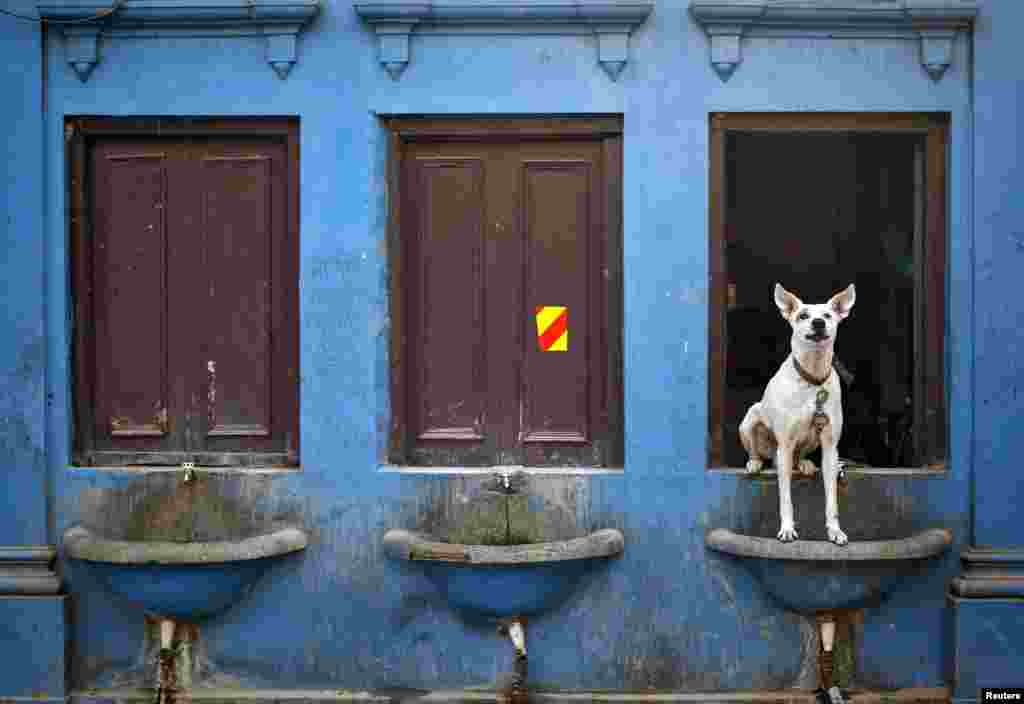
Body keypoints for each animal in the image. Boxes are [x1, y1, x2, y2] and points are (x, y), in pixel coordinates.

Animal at [741, 282, 851, 548]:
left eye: (828, 315)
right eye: (803, 315)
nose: (818, 323)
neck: (812, 378)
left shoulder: (830, 448)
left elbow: (832, 499)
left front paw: (835, 531)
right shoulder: (785, 446)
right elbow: (786, 499)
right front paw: (787, 529)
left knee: (801, 454)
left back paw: (804, 463)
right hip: (750, 419)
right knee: (756, 449)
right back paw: (754, 462)